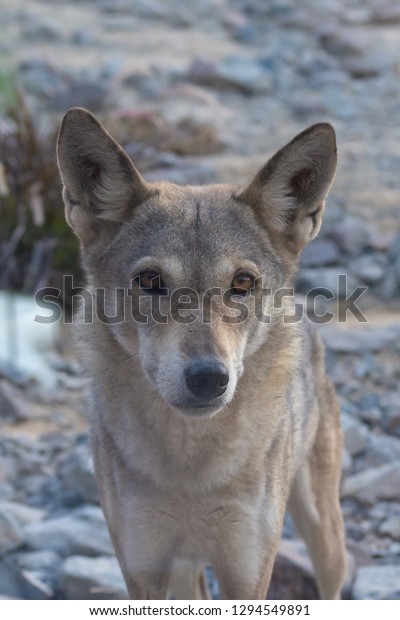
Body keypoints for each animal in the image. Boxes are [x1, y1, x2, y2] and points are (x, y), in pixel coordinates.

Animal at [56, 108, 346, 600]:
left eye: (242, 283)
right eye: (150, 280)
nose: (209, 378)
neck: (190, 469)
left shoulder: (247, 576)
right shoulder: (142, 570)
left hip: (324, 536)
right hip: (185, 567)